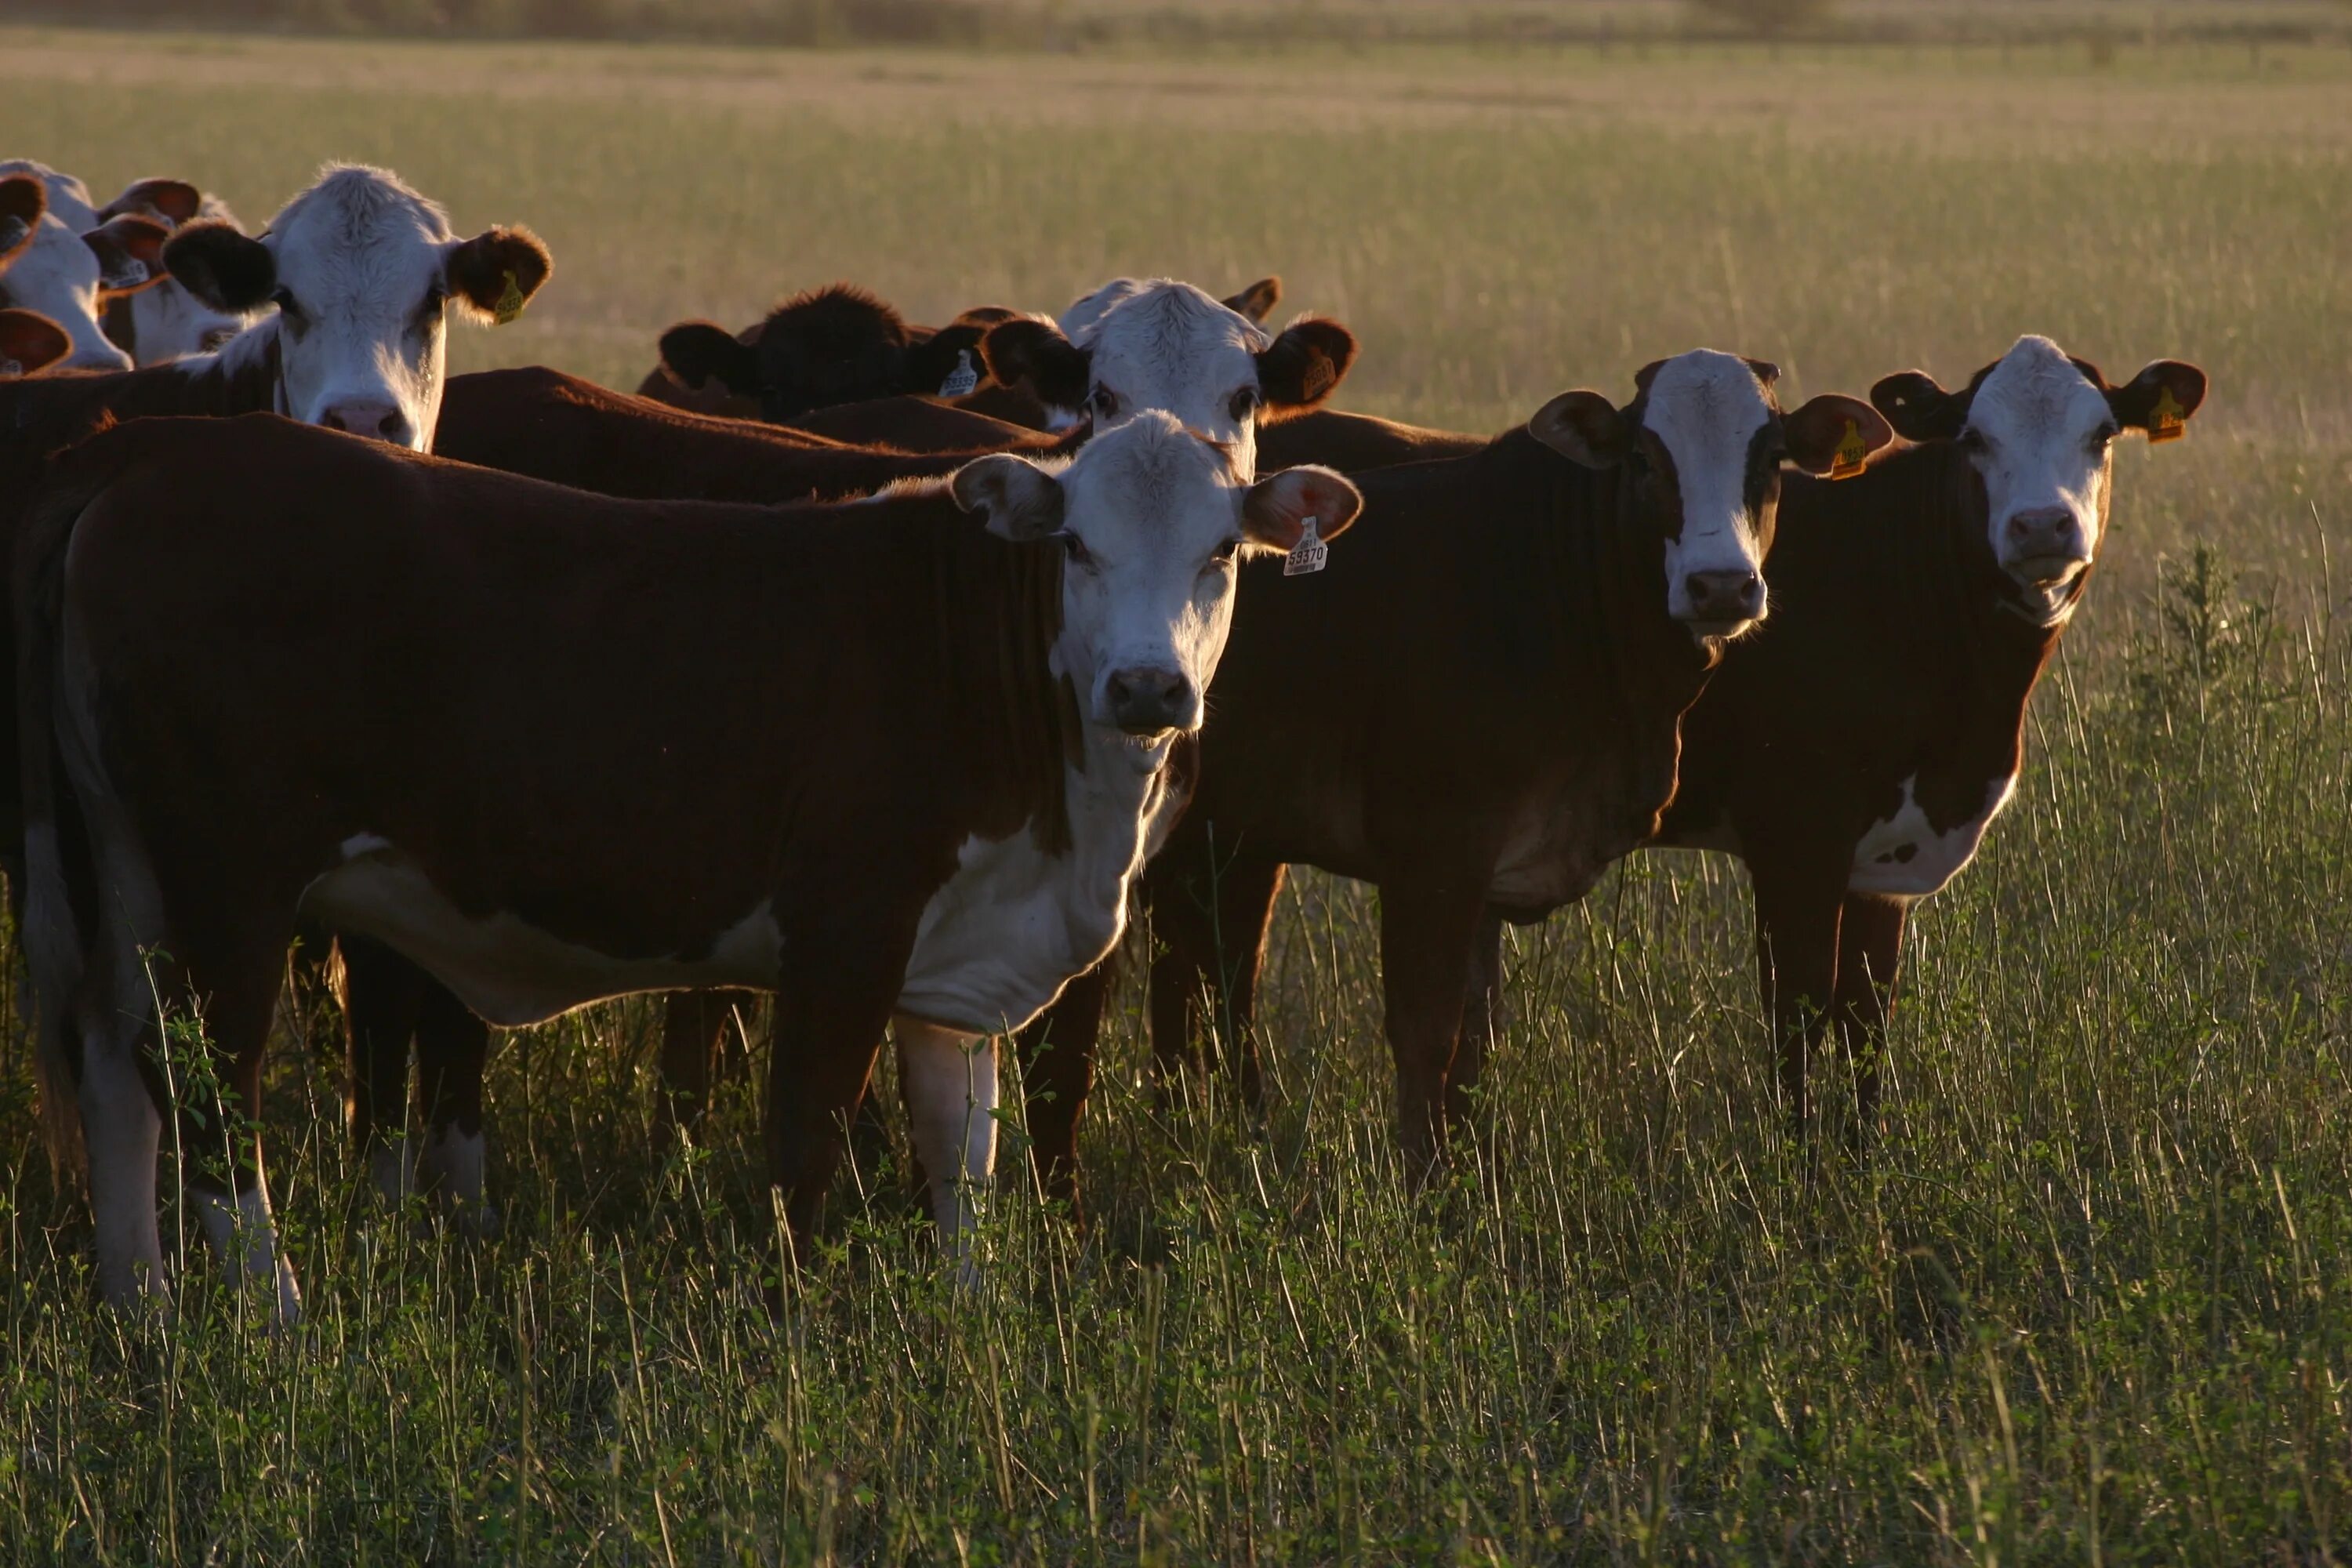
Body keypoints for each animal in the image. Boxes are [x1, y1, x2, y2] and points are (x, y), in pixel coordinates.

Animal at [13, 408, 1364, 1326]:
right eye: (1076, 544)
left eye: (1222, 553)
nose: (1148, 687)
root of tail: (151, 457)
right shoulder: (844, 933)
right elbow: (807, 1148)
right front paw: (795, 1327)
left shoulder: (958, 966)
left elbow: (962, 1162)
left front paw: (970, 1318)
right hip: (229, 880)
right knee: (209, 1082)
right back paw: (275, 1313)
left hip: (126, 873)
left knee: (118, 1067)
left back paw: (143, 1309)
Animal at [1007, 352, 1891, 1213]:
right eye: (1645, 458)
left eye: (1770, 460)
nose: (1721, 586)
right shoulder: (1432, 857)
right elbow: (1426, 1033)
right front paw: (1426, 1198)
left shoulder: (1485, 879)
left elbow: (1473, 1043)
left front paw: (1473, 1186)